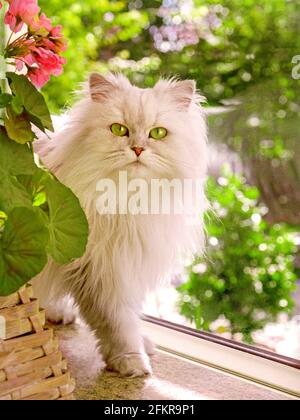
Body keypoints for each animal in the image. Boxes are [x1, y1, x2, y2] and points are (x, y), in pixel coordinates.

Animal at [32, 73, 206, 378]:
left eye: (157, 133)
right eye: (119, 129)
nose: (137, 149)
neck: (128, 198)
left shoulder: (121, 265)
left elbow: (130, 317)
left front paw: (143, 344)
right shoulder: (100, 272)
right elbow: (118, 324)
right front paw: (132, 362)